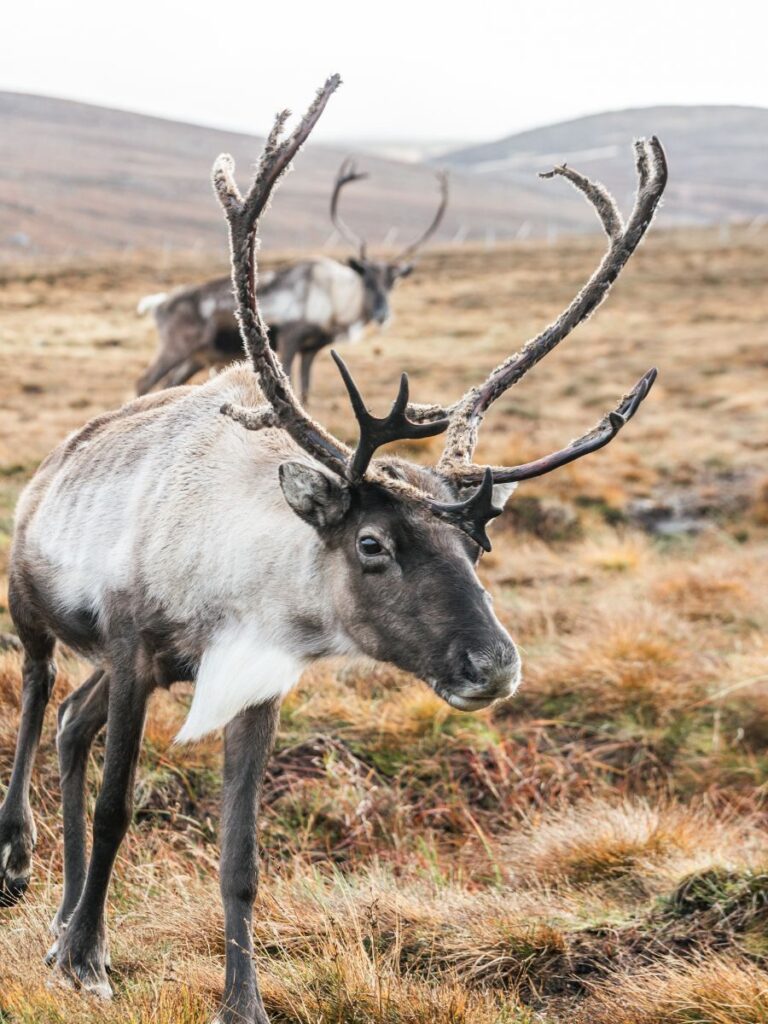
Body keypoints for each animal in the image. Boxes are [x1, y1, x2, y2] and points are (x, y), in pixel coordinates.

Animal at [135, 160, 448, 402]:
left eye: (393, 282)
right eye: (368, 280)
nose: (383, 314)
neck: (334, 298)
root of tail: (159, 304)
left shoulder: (312, 348)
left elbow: (306, 392)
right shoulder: (289, 338)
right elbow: (292, 387)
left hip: (196, 357)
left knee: (169, 384)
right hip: (175, 348)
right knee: (144, 381)